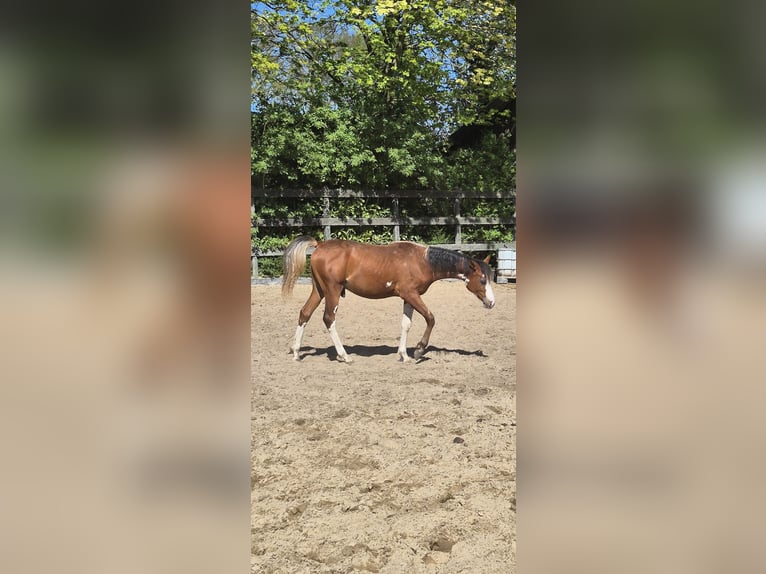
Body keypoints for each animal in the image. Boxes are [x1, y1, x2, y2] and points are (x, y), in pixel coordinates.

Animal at [281, 236, 496, 363]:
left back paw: (296, 352)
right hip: (332, 291)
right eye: (482, 280)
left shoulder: (408, 298)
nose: (491, 302)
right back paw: (344, 355)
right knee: (328, 319)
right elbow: (431, 318)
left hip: (319, 290)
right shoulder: (411, 294)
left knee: (304, 314)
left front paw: (404, 355)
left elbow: (406, 324)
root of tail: (320, 245)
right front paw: (418, 350)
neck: (423, 261)